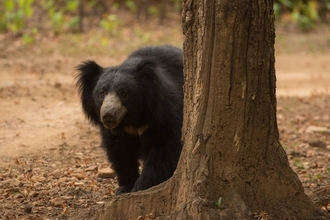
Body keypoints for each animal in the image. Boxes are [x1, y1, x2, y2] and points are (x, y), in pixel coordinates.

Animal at [76, 45, 184, 194]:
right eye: (101, 93)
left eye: (124, 93)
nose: (108, 115)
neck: (133, 119)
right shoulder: (117, 133)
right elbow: (121, 153)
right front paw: (125, 188)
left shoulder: (164, 116)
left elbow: (164, 151)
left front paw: (140, 188)